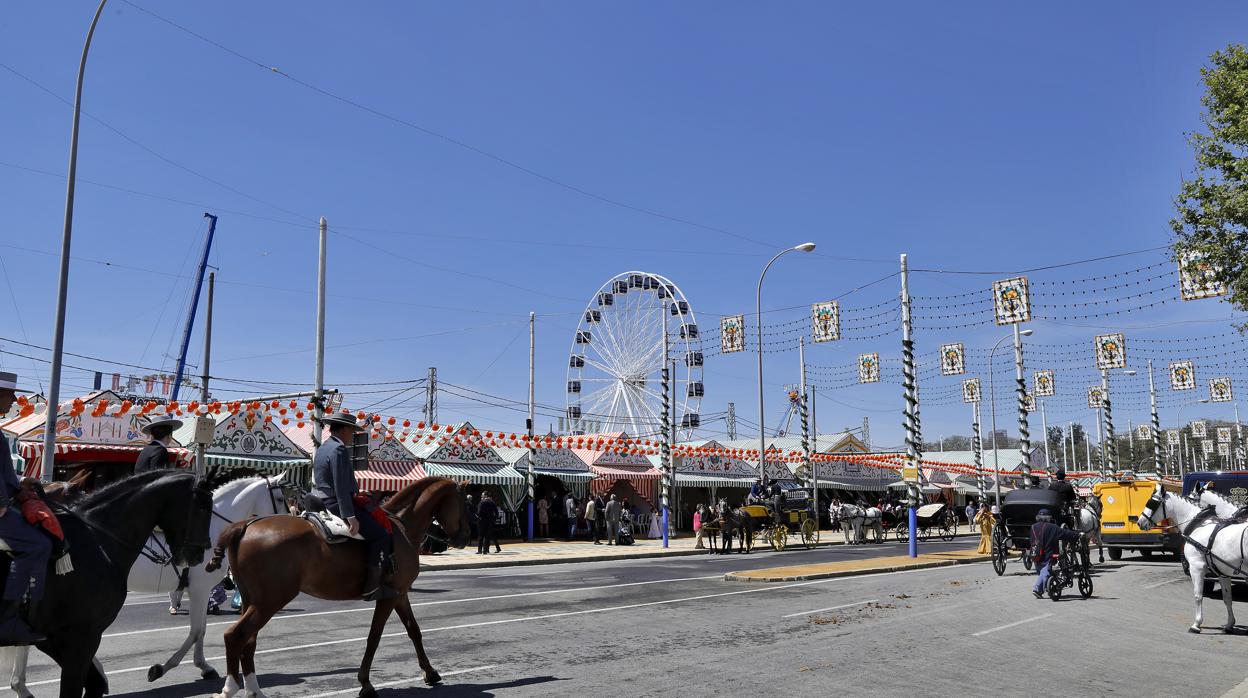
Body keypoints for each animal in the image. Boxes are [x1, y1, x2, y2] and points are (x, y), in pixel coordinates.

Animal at [207, 474, 469, 698]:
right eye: (465, 501)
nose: (464, 537)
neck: (402, 527)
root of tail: (245, 525)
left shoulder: (400, 593)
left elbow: (414, 630)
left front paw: (430, 672)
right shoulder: (388, 597)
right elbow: (374, 636)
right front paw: (365, 683)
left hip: (252, 601)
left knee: (248, 640)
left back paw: (253, 689)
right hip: (269, 602)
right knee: (235, 636)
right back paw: (230, 688)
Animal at [1133, 484, 1238, 636]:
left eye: (1151, 503)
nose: (1140, 522)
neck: (1200, 526)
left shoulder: (1197, 567)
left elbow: (1198, 595)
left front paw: (1197, 624)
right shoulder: (1222, 571)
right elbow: (1227, 598)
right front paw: (1230, 624)